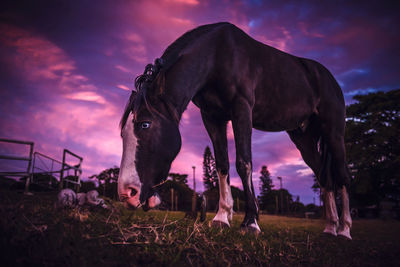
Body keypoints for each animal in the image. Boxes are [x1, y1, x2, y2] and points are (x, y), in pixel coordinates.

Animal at [119, 23, 354, 240]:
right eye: (122, 133)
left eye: (145, 124)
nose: (126, 193)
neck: (217, 55)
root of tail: (328, 78)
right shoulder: (212, 117)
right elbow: (222, 164)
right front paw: (222, 217)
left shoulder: (242, 110)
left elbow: (244, 163)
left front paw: (250, 222)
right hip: (303, 138)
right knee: (324, 177)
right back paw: (330, 228)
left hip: (334, 133)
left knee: (342, 176)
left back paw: (344, 230)